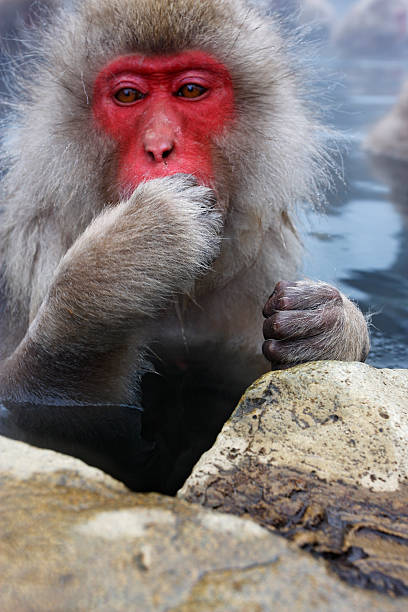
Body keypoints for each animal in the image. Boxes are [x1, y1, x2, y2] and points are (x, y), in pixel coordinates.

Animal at [0, 0, 370, 488]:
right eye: (128, 97)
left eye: (191, 90)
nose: (160, 147)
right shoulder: (29, 251)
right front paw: (122, 263)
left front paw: (329, 325)